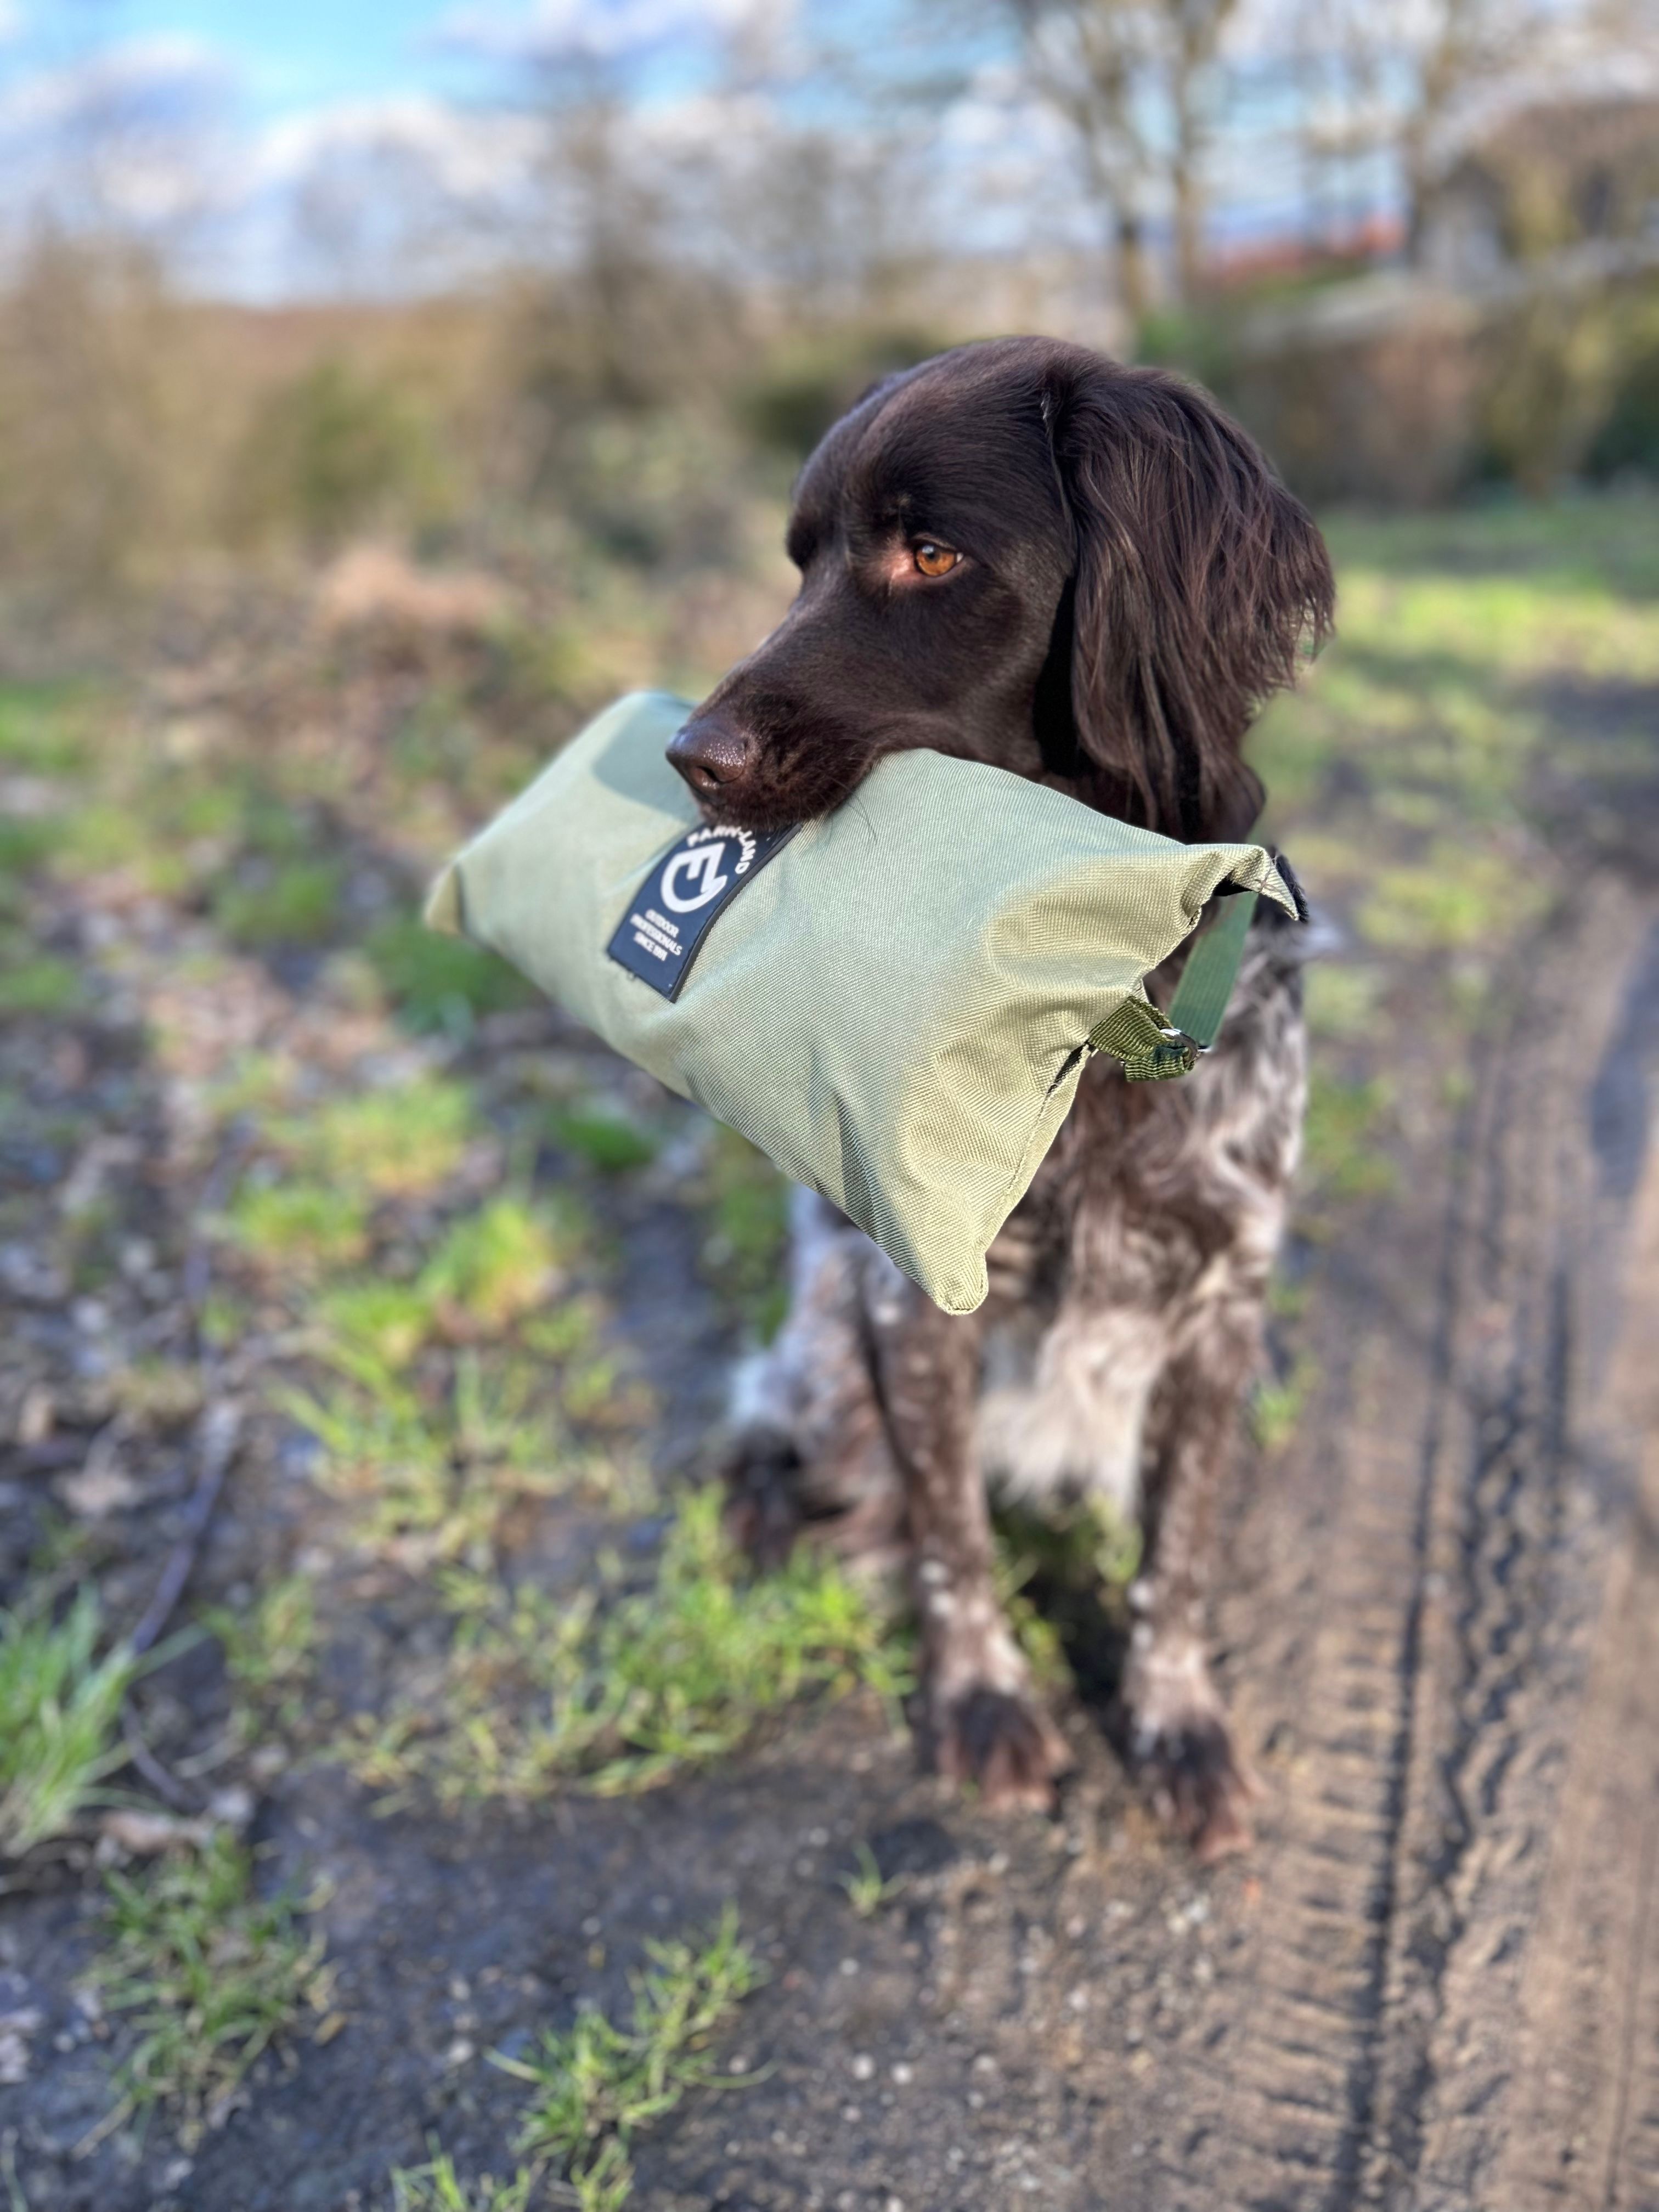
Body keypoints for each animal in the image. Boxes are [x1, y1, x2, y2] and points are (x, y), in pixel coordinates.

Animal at [668, 336, 1336, 1858]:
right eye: (801, 562)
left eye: (931, 554)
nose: (689, 755)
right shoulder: (909, 1303)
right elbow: (955, 1538)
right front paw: (982, 1702)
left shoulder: (1226, 1299)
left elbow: (1177, 1557)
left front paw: (1175, 1723)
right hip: (827, 1348)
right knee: (793, 1437)